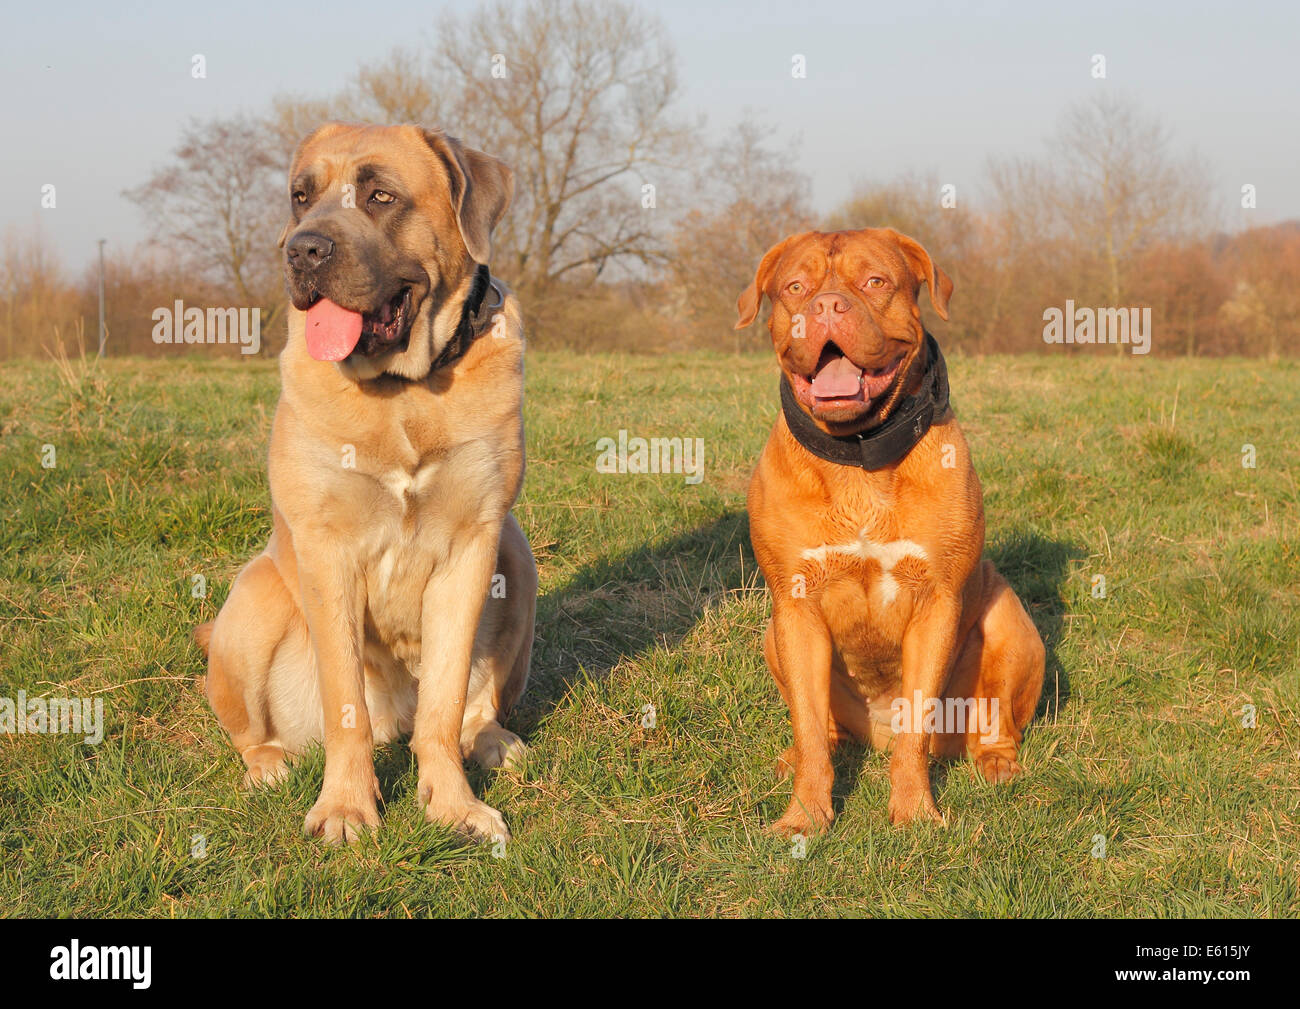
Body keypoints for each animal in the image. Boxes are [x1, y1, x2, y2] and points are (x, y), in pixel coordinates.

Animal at [193, 124, 538, 842]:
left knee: (468, 706)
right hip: (253, 601)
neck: (403, 391)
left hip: (517, 558)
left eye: (381, 196)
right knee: (251, 728)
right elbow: (343, 700)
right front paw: (347, 807)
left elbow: (445, 698)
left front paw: (453, 804)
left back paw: (493, 740)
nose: (303, 249)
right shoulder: (327, 548)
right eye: (300, 196)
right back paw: (268, 764)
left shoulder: (474, 541)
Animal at [738, 228, 1040, 837]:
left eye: (875, 281)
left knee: (994, 722)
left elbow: (915, 730)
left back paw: (998, 764)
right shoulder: (796, 608)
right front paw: (805, 818)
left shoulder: (936, 603)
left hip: (1012, 626)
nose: (827, 306)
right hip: (773, 635)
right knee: (823, 729)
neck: (858, 456)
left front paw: (916, 813)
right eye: (795, 287)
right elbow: (810, 727)